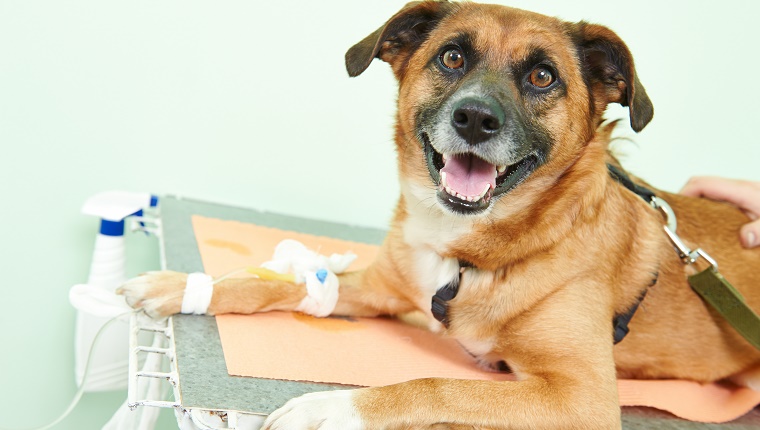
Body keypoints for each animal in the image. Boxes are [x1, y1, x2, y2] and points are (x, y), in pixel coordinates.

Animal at [116, 1, 756, 428]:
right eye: (452, 56)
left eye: (542, 75)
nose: (474, 119)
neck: (468, 248)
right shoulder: (380, 288)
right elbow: (271, 284)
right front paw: (180, 286)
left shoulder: (582, 399)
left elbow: (438, 385)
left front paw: (334, 405)